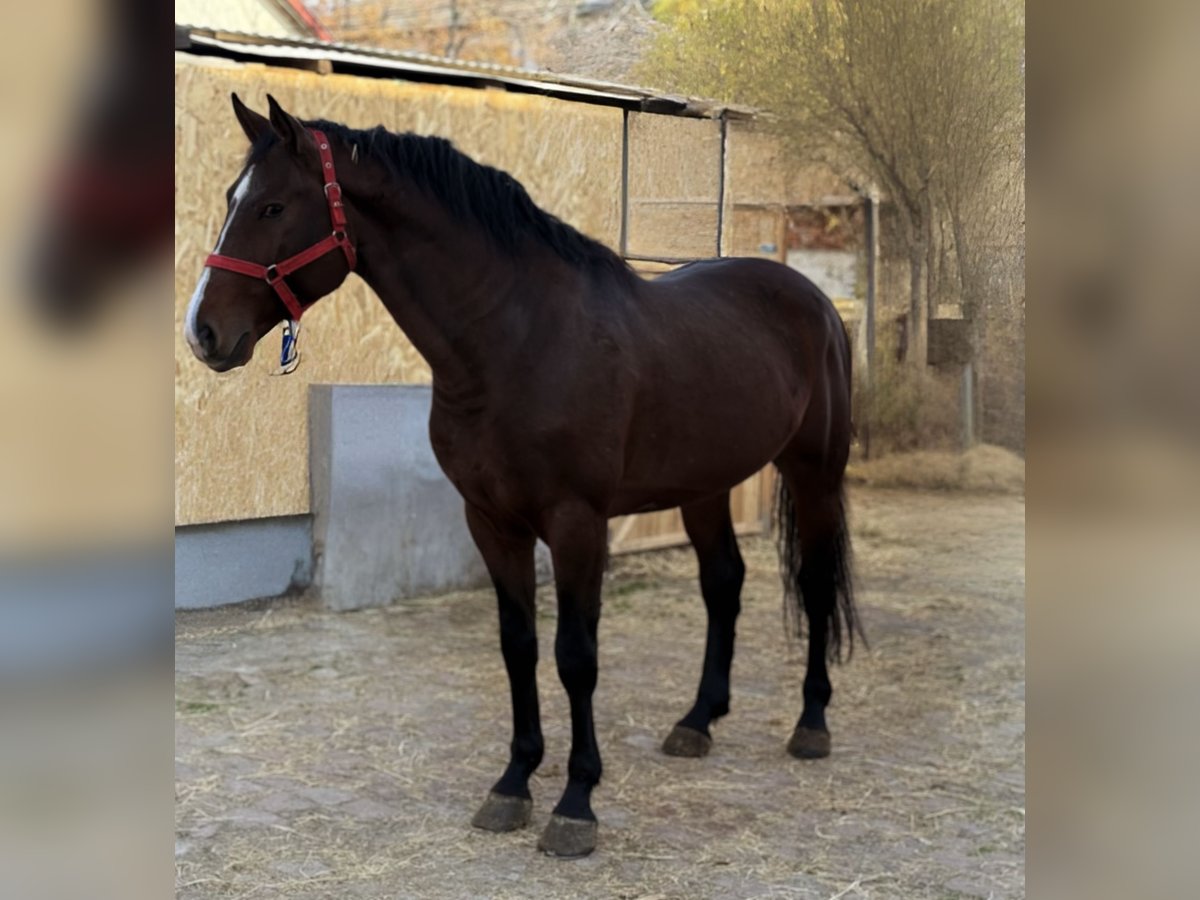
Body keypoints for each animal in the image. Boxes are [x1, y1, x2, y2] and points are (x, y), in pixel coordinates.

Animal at [184, 94, 863, 858]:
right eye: (231, 199)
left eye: (271, 207)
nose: (203, 332)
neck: (518, 339)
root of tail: (815, 298)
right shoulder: (491, 521)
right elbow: (519, 648)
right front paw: (513, 784)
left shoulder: (576, 523)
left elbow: (575, 655)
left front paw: (576, 802)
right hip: (706, 484)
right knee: (724, 583)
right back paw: (697, 721)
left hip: (813, 471)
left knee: (813, 581)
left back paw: (811, 724)